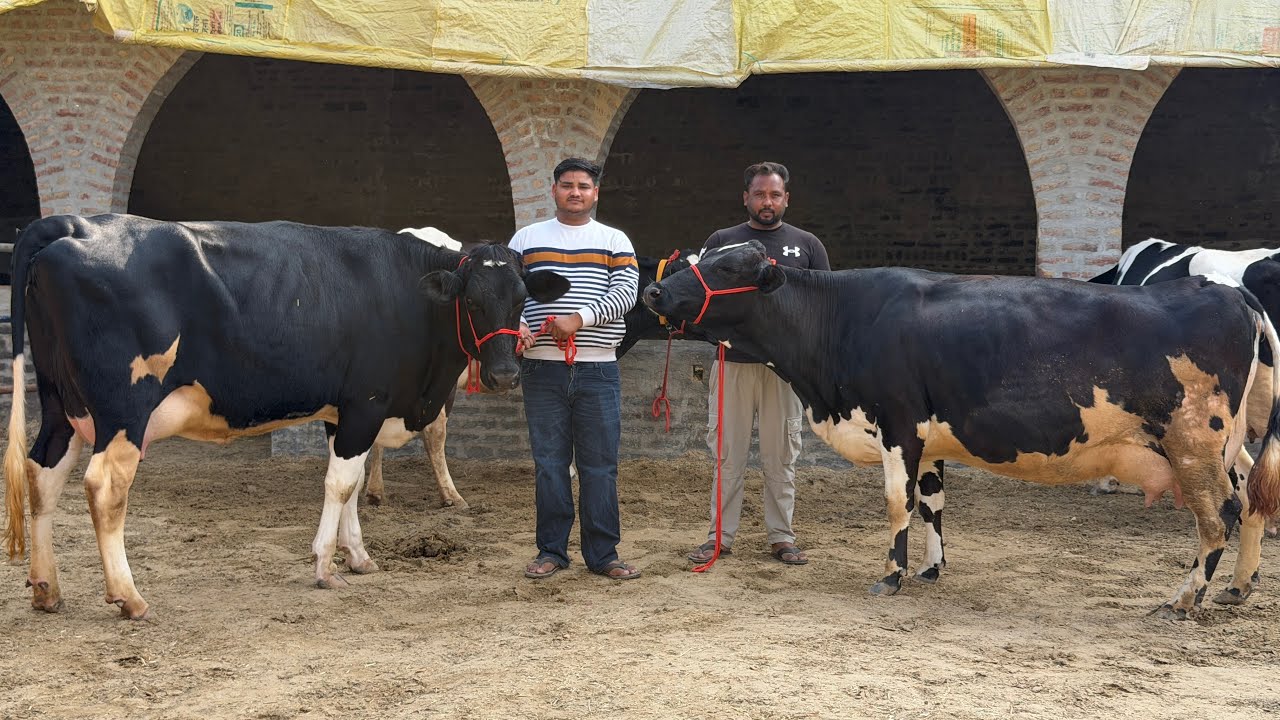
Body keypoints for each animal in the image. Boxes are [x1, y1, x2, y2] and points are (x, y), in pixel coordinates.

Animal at [3, 213, 568, 619]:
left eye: (521, 298)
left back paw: (46, 588)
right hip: (122, 413)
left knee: (44, 474)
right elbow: (340, 484)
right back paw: (129, 597)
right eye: (471, 301)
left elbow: (352, 484)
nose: (504, 375)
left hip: (62, 407)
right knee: (104, 487)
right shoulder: (367, 403)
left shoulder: (348, 411)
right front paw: (324, 565)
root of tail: (74, 223)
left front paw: (357, 557)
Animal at [642, 239, 1280, 618]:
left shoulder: (898, 423)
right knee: (1251, 498)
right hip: (1225, 444)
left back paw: (1185, 598)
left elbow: (897, 503)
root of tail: (1226, 291)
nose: (654, 289)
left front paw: (892, 575)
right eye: (698, 252)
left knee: (1217, 514)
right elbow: (932, 502)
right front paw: (930, 568)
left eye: (727, 266)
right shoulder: (928, 436)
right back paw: (1238, 586)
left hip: (1193, 441)